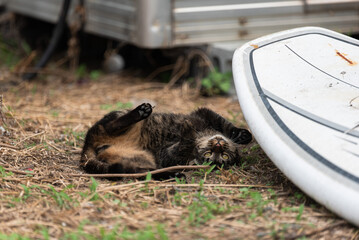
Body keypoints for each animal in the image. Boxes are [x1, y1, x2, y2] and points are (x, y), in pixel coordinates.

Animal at [81, 102, 253, 173]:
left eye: (224, 156)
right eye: (209, 153)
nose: (218, 144)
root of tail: (87, 145)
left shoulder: (168, 156)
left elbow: (182, 145)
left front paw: (188, 133)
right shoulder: (205, 113)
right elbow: (225, 124)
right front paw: (244, 135)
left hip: (140, 160)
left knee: (139, 172)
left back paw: (174, 174)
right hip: (118, 115)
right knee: (112, 124)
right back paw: (142, 111)